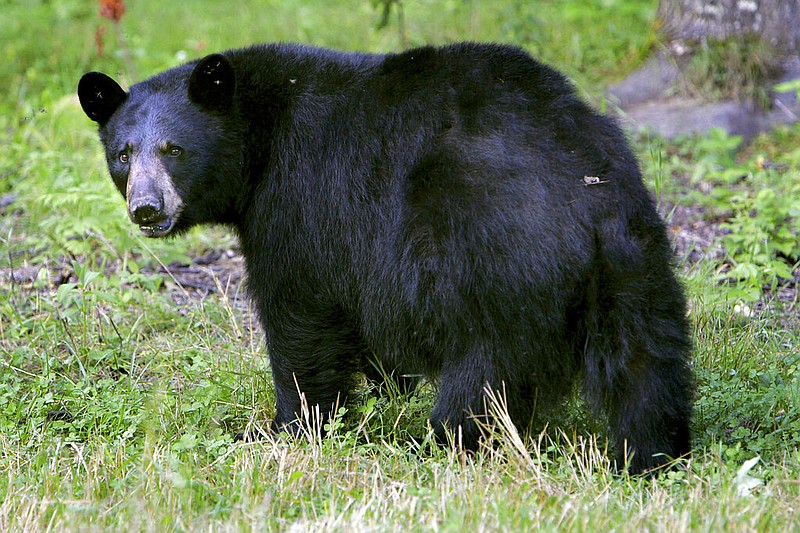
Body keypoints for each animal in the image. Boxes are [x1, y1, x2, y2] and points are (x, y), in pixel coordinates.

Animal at [83, 42, 692, 474]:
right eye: (123, 154)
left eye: (174, 149)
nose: (146, 207)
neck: (259, 139)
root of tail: (582, 193)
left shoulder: (300, 200)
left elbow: (300, 316)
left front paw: (286, 428)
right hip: (634, 260)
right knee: (646, 364)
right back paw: (651, 457)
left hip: (497, 260)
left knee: (485, 375)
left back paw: (441, 446)